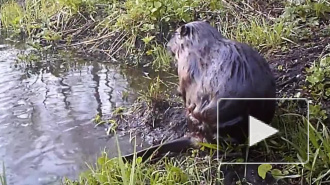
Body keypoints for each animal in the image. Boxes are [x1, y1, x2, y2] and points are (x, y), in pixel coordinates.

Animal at [121, 21, 276, 161]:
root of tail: (195, 138)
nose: (167, 45)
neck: (199, 43)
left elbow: (183, 89)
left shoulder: (185, 67)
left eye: (175, 34)